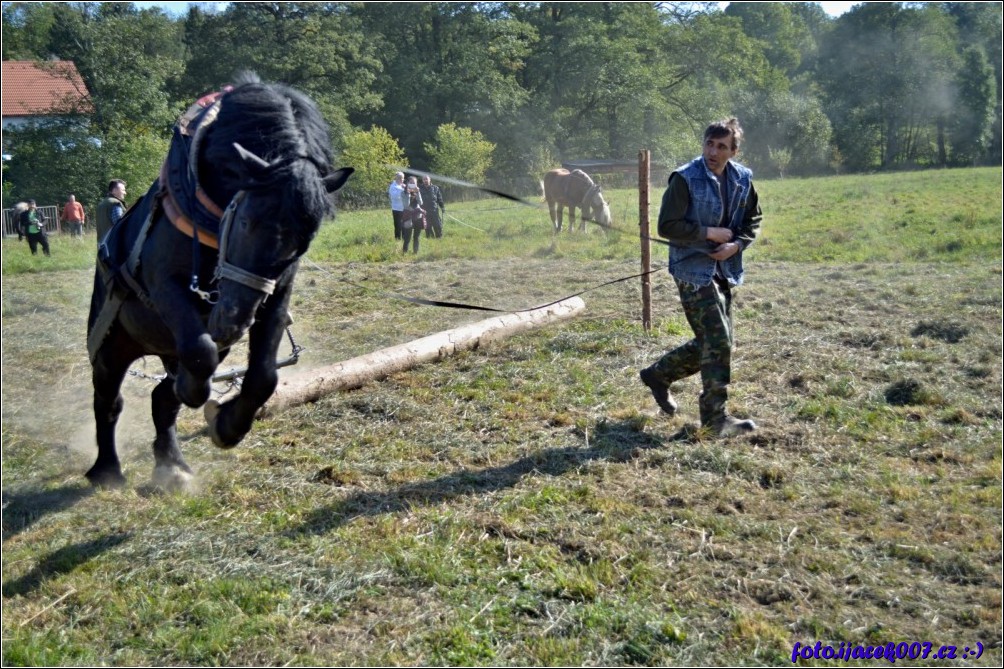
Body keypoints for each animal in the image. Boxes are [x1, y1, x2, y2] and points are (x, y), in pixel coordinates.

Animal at [87, 72, 353, 488]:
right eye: (246, 221)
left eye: (302, 243)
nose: (231, 322)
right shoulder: (163, 284)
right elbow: (200, 352)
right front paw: (194, 390)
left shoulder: (275, 295)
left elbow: (263, 377)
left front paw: (228, 425)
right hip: (112, 343)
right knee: (109, 400)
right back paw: (107, 469)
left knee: (162, 399)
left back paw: (172, 465)